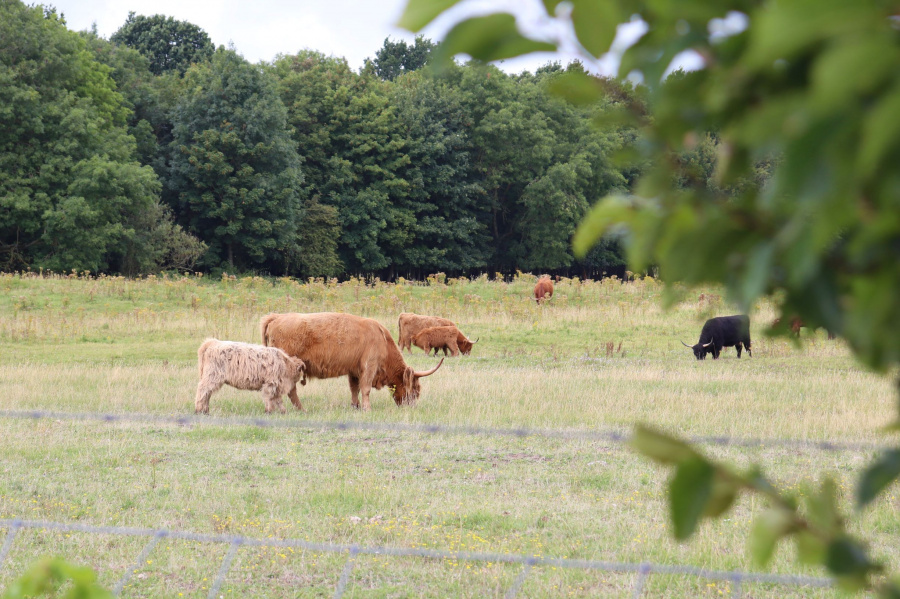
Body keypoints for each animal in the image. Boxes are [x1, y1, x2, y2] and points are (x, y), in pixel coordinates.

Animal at [260, 312, 442, 410]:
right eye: (416, 390)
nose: (412, 407)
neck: (383, 340)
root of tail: (276, 317)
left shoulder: (354, 370)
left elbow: (354, 388)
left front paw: (355, 406)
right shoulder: (369, 366)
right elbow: (365, 388)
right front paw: (367, 408)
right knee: (289, 390)